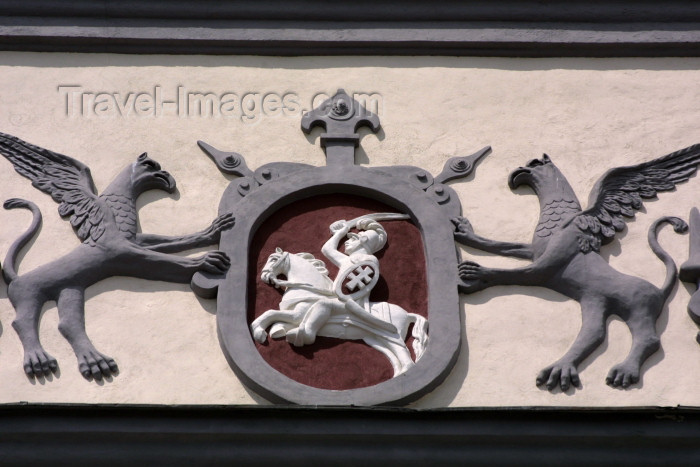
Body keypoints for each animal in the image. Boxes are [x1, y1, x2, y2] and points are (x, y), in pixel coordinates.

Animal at [252, 249, 426, 376]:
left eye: (273, 259)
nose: (264, 275)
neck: (307, 288)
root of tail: (408, 314)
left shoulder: (299, 314)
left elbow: (270, 313)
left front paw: (259, 331)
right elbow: (276, 319)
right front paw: (276, 330)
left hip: (393, 336)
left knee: (406, 358)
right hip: (376, 339)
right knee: (397, 359)